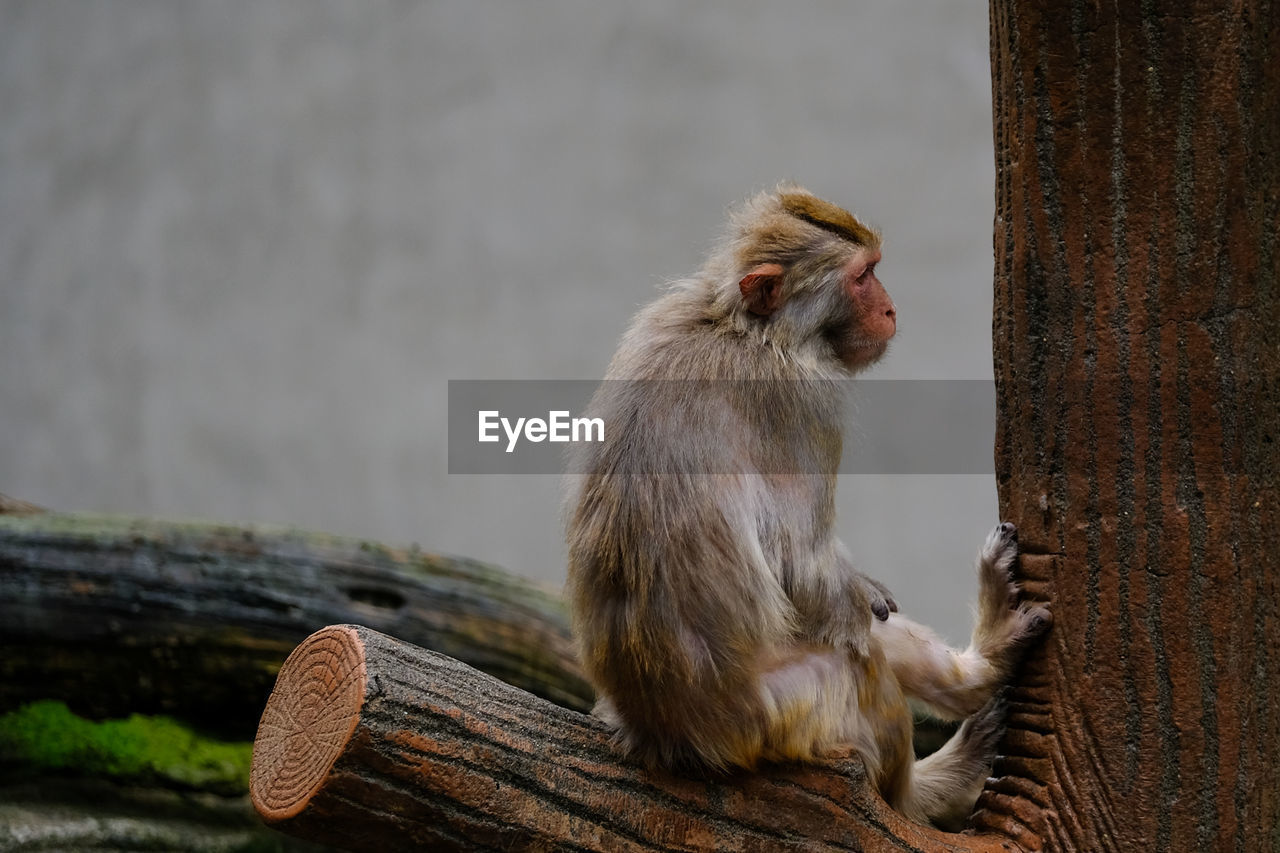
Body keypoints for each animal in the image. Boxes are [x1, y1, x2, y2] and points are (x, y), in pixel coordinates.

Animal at [568, 184, 1049, 824]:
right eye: (863, 277)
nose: (891, 310)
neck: (741, 328)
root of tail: (664, 735)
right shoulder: (806, 399)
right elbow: (801, 560)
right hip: (787, 717)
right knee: (856, 653)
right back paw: (920, 792)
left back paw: (980, 672)